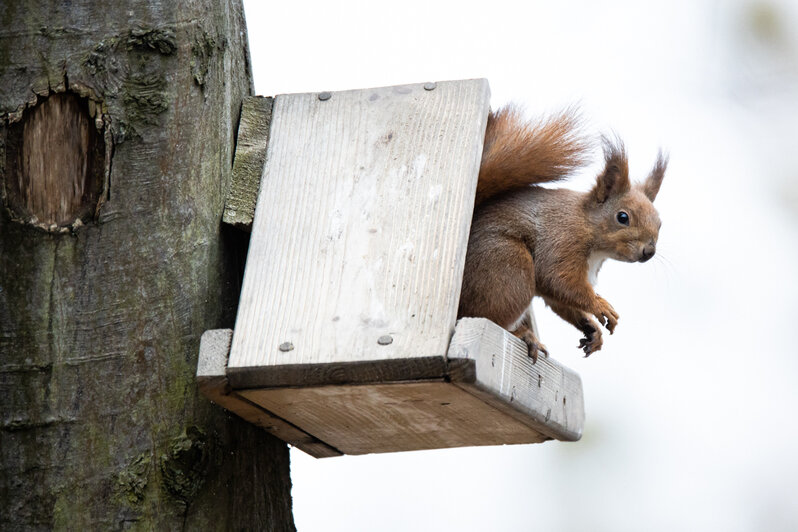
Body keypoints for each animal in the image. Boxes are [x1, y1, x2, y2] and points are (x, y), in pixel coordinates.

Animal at [460, 105, 664, 360]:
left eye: (660, 223)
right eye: (623, 217)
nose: (649, 251)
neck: (588, 226)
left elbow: (559, 300)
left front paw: (592, 328)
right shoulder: (563, 238)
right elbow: (558, 280)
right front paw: (600, 305)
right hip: (508, 269)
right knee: (487, 316)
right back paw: (522, 334)